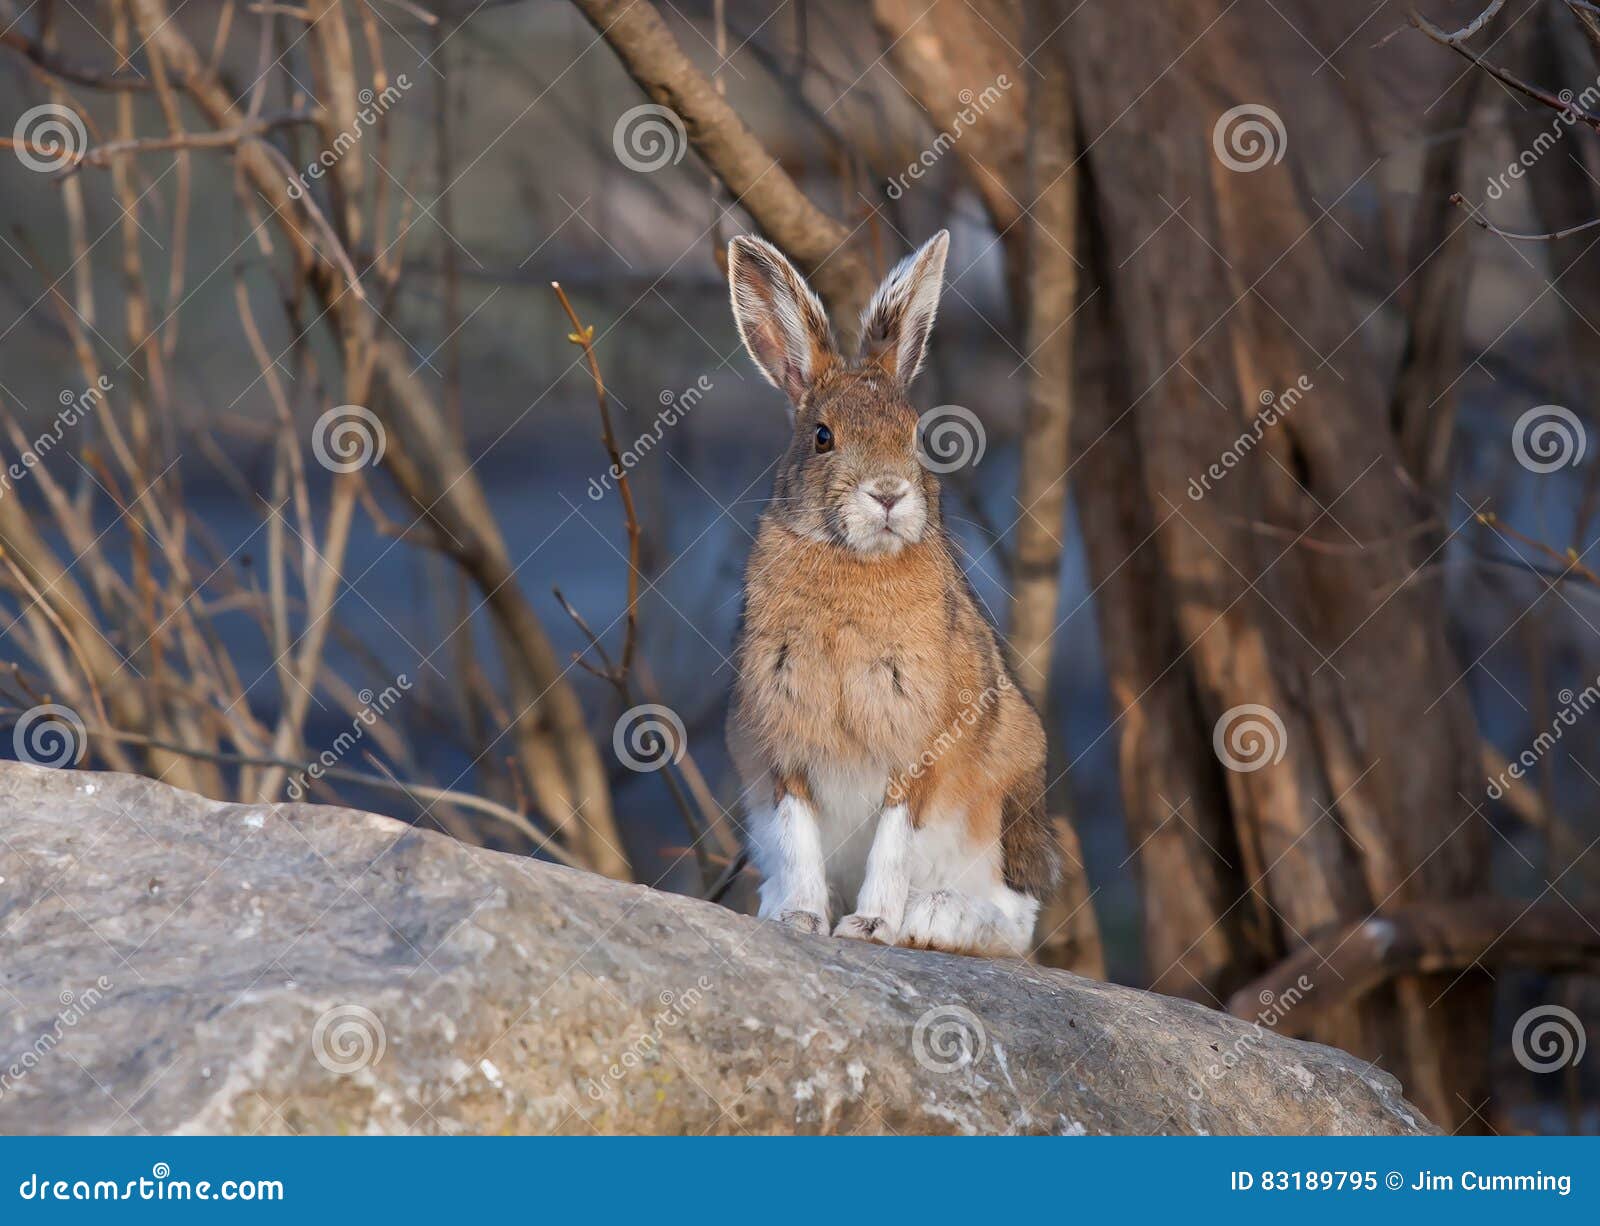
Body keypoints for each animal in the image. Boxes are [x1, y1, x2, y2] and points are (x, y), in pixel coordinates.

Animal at [724, 229, 1059, 958]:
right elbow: (797, 833)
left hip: (1003, 803)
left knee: (1013, 921)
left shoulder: (921, 742)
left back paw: (932, 919)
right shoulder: (781, 741)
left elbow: (895, 837)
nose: (887, 494)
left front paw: (872, 926)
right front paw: (800, 919)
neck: (856, 565)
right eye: (823, 437)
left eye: (915, 435)